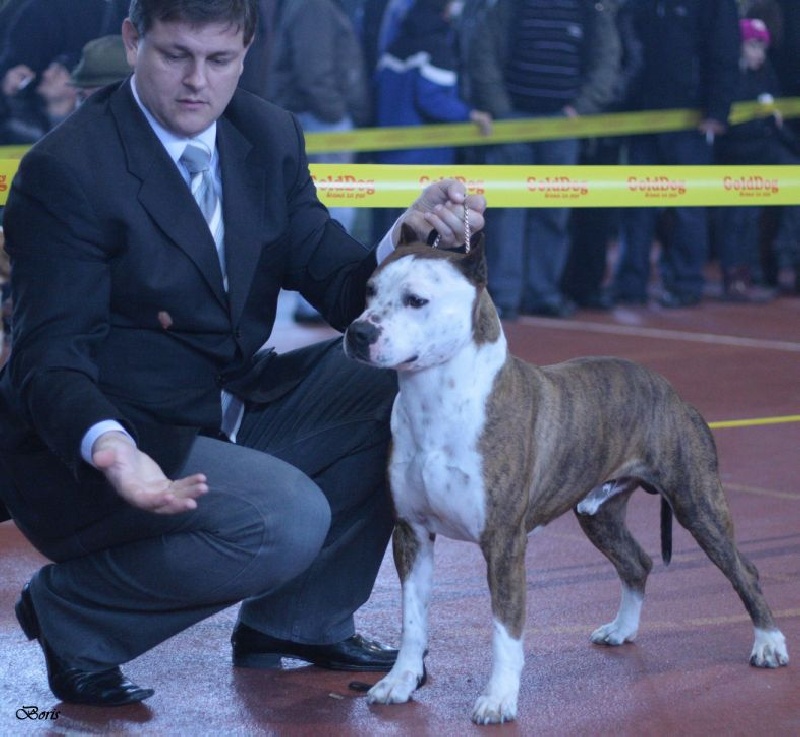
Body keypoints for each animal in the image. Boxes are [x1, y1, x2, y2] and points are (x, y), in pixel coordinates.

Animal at [343, 226, 789, 724]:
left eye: (417, 300)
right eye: (369, 292)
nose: (359, 332)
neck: (438, 400)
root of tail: (670, 390)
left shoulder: (503, 542)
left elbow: (505, 628)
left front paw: (499, 699)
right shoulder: (412, 533)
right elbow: (413, 622)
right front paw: (399, 683)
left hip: (697, 503)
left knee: (743, 569)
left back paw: (768, 644)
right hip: (598, 512)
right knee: (637, 562)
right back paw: (621, 628)